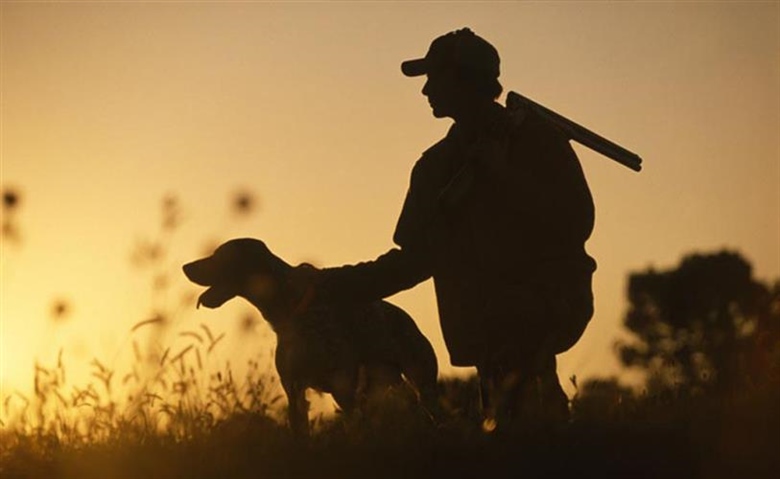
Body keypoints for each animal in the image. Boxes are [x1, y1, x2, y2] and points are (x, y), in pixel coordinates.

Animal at [183, 238, 438, 436]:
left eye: (219, 256)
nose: (186, 266)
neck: (290, 311)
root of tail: (406, 318)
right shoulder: (294, 391)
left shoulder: (343, 389)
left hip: (420, 382)